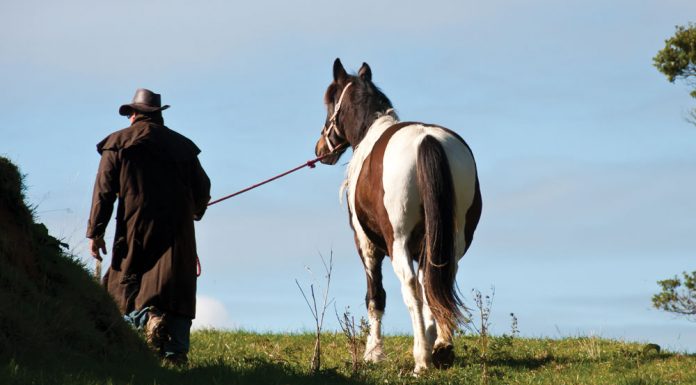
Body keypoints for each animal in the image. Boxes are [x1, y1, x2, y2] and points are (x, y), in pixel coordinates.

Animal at [316, 57, 484, 372]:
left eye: (330, 103)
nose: (320, 149)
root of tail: (427, 140)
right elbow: (429, 286)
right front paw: (432, 338)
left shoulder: (367, 245)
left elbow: (376, 297)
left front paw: (374, 352)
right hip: (453, 239)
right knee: (438, 279)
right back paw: (441, 347)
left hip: (399, 242)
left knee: (410, 287)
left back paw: (422, 359)